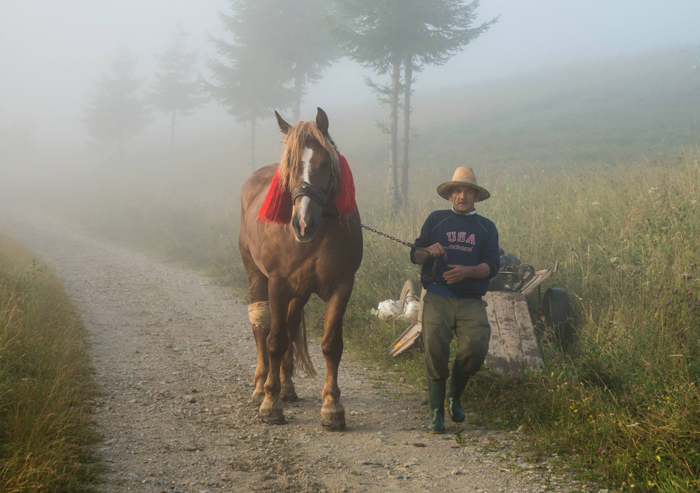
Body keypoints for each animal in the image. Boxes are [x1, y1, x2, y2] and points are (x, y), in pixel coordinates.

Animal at [238, 108, 363, 431]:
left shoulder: (342, 286)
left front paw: (332, 406)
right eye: (290, 166)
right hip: (256, 276)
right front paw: (270, 404)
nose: (303, 224)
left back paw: (287, 387)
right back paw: (261, 386)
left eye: (324, 163)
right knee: (261, 327)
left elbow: (331, 345)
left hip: (300, 292)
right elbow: (275, 341)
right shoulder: (277, 284)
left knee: (291, 325)